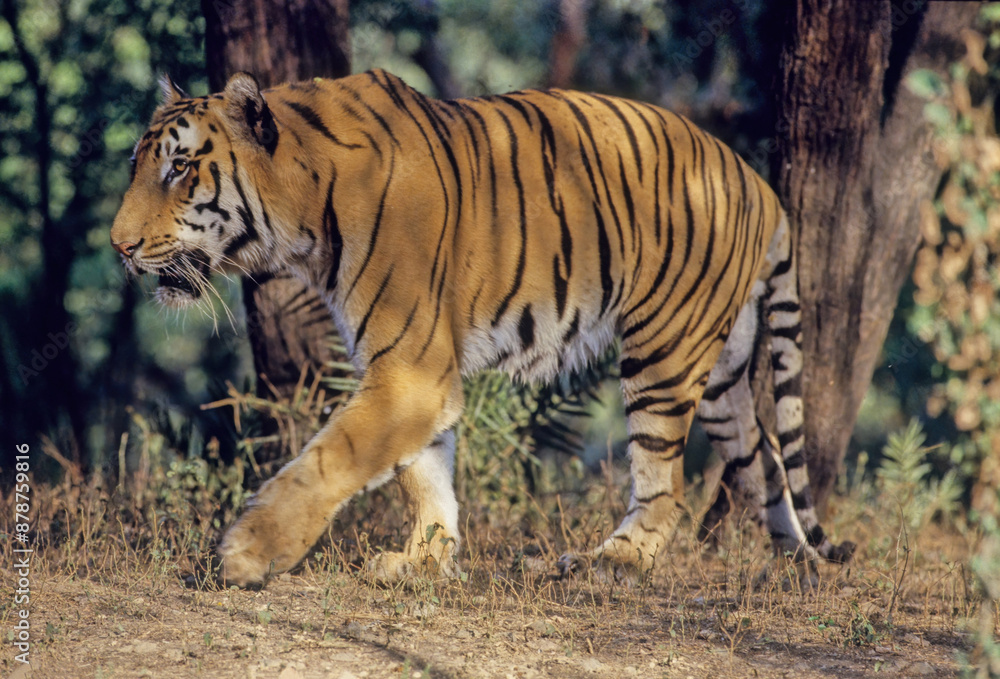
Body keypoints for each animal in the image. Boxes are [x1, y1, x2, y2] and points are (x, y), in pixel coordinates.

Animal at [111, 69, 853, 587]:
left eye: (179, 168)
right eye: (138, 165)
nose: (118, 246)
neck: (304, 211)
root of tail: (759, 182)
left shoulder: (409, 369)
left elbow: (331, 459)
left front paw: (247, 552)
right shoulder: (409, 370)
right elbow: (424, 473)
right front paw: (425, 561)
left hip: (663, 351)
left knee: (665, 484)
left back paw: (612, 562)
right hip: (723, 366)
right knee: (766, 455)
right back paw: (795, 563)